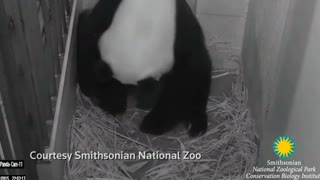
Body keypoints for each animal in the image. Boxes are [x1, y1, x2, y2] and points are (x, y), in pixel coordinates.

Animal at [77, 0, 212, 136]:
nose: (115, 107)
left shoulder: (181, 31)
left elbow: (186, 77)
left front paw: (154, 122)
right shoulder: (106, 15)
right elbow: (87, 38)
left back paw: (196, 124)